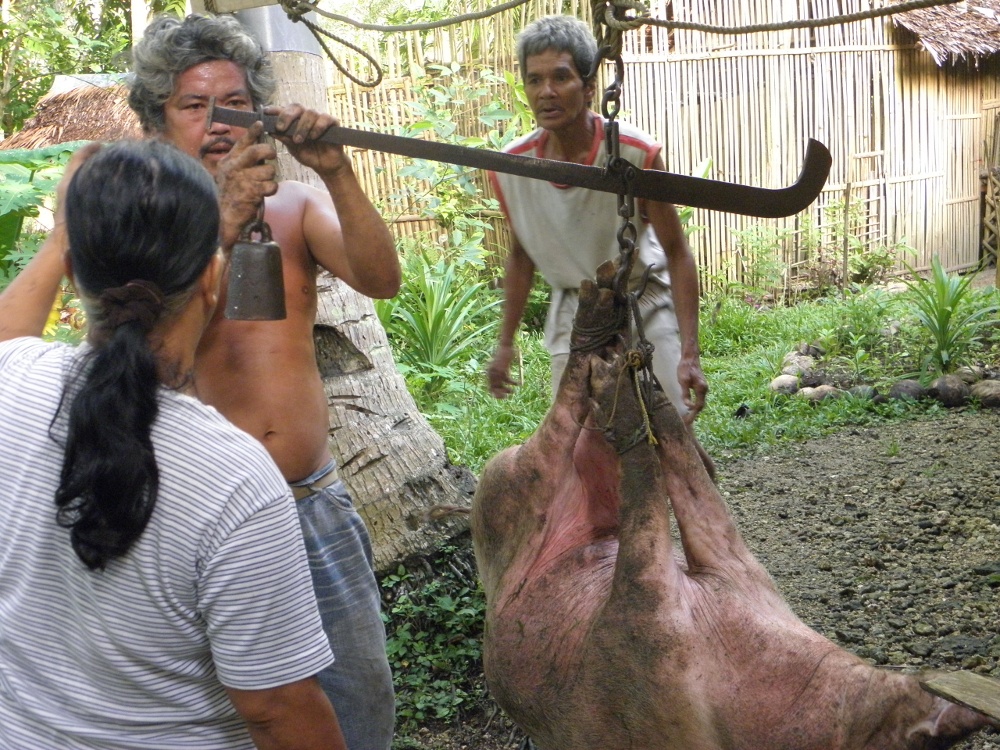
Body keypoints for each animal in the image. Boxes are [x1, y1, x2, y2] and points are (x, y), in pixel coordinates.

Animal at [470, 262, 1000, 750]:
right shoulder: (660, 617)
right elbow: (667, 493)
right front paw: (637, 390)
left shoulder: (717, 577)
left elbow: (686, 494)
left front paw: (638, 388)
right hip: (509, 482)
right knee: (560, 426)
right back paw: (604, 335)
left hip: (546, 486)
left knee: (588, 438)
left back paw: (611, 343)